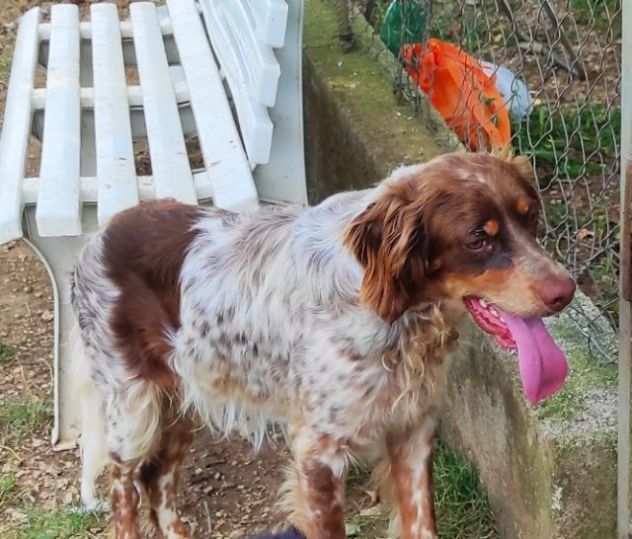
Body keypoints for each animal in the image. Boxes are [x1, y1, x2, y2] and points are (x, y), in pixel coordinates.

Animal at [71, 152, 576, 539]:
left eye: (530, 217)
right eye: (478, 238)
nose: (566, 291)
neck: (394, 315)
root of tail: (99, 236)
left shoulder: (412, 431)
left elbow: (421, 522)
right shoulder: (319, 454)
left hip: (184, 399)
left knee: (159, 480)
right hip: (131, 410)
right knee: (124, 488)